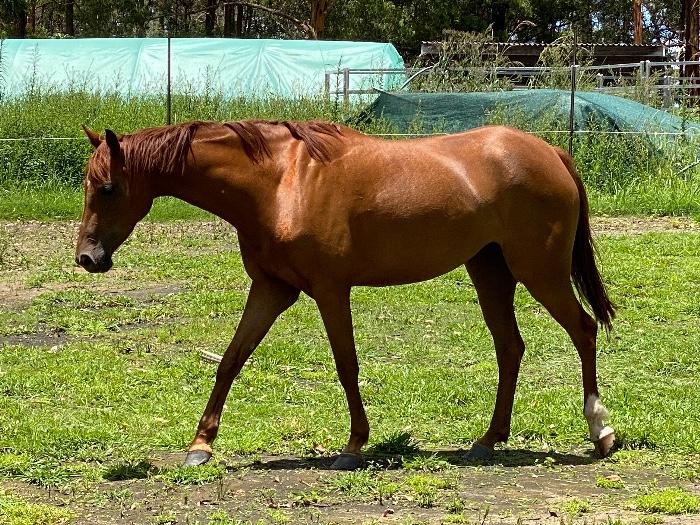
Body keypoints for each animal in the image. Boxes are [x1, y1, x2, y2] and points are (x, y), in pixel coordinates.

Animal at [76, 120, 616, 470]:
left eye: (107, 188)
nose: (87, 257)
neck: (281, 182)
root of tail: (552, 154)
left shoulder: (330, 290)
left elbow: (346, 365)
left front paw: (354, 446)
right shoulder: (272, 289)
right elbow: (231, 359)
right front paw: (200, 445)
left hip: (540, 272)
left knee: (584, 330)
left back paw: (601, 432)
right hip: (490, 273)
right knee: (510, 348)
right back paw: (488, 440)